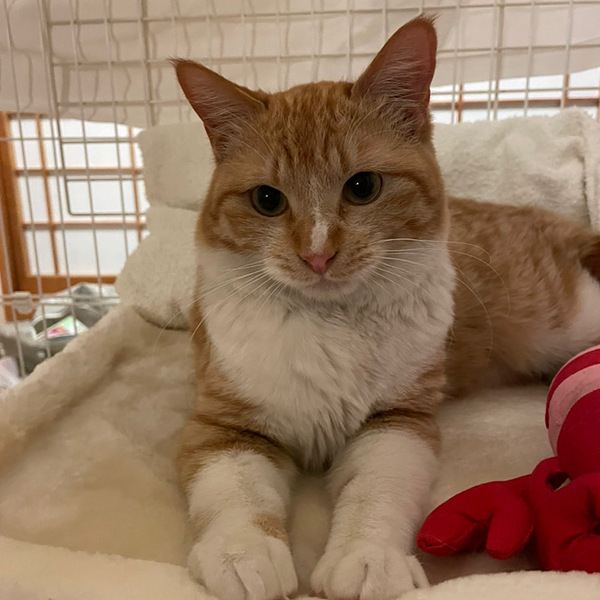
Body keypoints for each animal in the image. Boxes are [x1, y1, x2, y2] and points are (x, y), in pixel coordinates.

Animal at [173, 15, 600, 600]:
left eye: (363, 187)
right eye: (266, 199)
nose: (317, 254)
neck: (329, 323)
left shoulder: (398, 421)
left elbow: (376, 491)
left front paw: (367, 557)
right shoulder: (222, 428)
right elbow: (235, 492)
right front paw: (243, 553)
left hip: (567, 319)